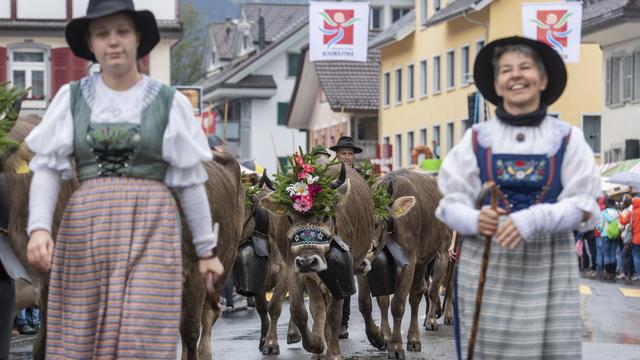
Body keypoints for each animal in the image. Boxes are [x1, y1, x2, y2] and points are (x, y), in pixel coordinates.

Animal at [358, 169, 452, 360]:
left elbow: (399, 304)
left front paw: (396, 346)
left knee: (419, 293)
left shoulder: (409, 262)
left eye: (376, 223)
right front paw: (378, 337)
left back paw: (415, 337)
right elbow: (367, 302)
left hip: (432, 256)